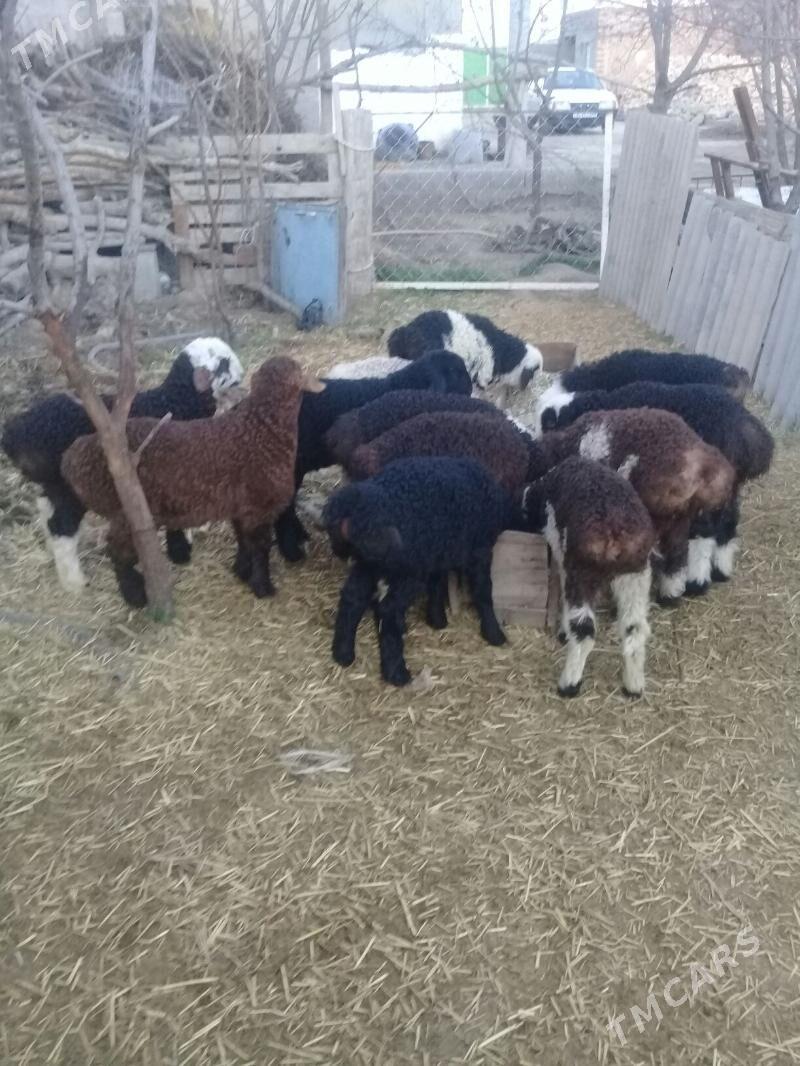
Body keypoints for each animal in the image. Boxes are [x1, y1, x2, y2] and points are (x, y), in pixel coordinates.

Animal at [1, 336, 243, 593]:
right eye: (224, 363)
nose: (242, 373)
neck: (174, 402)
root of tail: (17, 431)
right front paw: (182, 549)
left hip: (54, 483)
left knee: (46, 510)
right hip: (69, 487)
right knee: (61, 525)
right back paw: (74, 582)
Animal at [60, 357, 322, 609]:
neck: (261, 430)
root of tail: (73, 457)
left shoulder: (241, 507)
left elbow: (243, 541)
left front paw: (242, 571)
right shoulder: (259, 508)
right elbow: (260, 547)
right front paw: (263, 587)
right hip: (125, 512)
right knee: (118, 552)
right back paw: (135, 595)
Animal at [323, 456, 511, 686]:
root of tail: (362, 504)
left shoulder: (438, 550)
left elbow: (437, 583)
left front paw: (437, 619)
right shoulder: (480, 550)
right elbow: (483, 591)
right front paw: (493, 633)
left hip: (370, 562)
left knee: (352, 598)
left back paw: (343, 653)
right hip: (407, 568)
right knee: (388, 610)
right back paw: (396, 672)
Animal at [520, 456, 657, 698]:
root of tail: (616, 532)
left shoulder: (563, 555)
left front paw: (562, 632)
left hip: (582, 572)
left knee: (583, 631)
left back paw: (568, 684)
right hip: (636, 575)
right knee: (635, 628)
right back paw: (633, 685)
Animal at [532, 381, 773, 593]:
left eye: (547, 424)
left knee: (702, 535)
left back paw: (696, 582)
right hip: (726, 492)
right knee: (727, 525)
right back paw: (718, 572)